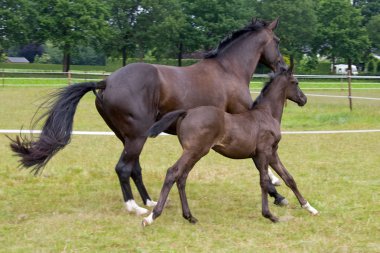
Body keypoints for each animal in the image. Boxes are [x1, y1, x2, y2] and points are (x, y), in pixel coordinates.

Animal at [9, 17, 288, 215]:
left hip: (128, 137)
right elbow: (260, 162)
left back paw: (150, 201)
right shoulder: (244, 124)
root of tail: (106, 82)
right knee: (124, 168)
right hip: (136, 137)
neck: (228, 70)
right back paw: (135, 207)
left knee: (134, 168)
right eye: (277, 40)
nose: (283, 66)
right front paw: (277, 193)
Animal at [142, 64, 318, 225]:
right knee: (173, 172)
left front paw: (309, 207)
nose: (304, 99)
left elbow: (288, 178)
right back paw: (152, 216)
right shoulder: (264, 152)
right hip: (194, 151)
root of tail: (187, 112)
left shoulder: (272, 153)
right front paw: (269, 215)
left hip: (195, 153)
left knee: (182, 177)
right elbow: (264, 181)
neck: (267, 114)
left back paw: (189, 216)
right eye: (295, 82)